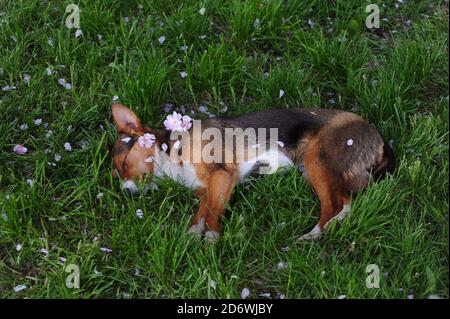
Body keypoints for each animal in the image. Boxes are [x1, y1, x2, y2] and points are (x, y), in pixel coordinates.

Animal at [110, 104, 396, 242]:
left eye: (123, 165)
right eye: (118, 174)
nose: (126, 193)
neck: (173, 151)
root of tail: (378, 137)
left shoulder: (222, 175)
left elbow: (213, 213)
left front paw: (211, 238)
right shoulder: (207, 188)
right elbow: (203, 211)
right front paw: (192, 235)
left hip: (318, 160)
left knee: (338, 204)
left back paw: (314, 234)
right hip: (312, 169)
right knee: (344, 202)